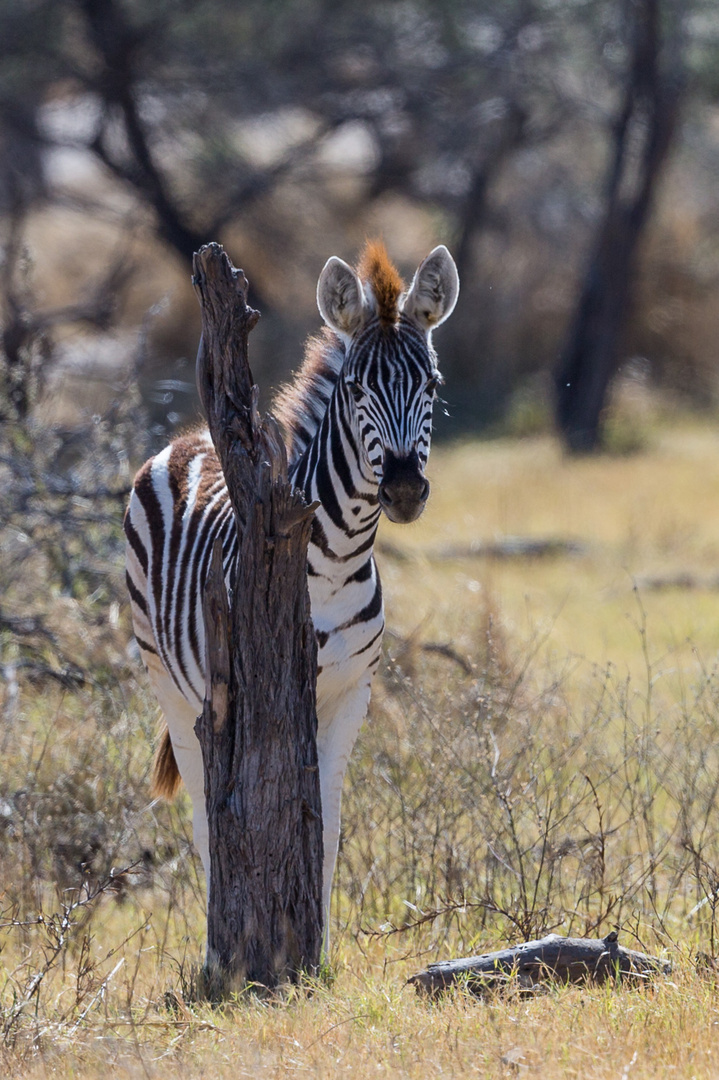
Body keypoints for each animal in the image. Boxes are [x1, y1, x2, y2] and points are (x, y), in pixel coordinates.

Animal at [124, 240, 455, 933]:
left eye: (432, 385)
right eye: (356, 388)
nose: (405, 490)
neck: (335, 560)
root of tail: (189, 438)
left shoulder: (351, 693)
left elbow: (324, 832)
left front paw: (316, 944)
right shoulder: (263, 690)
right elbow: (254, 820)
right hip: (170, 683)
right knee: (205, 819)